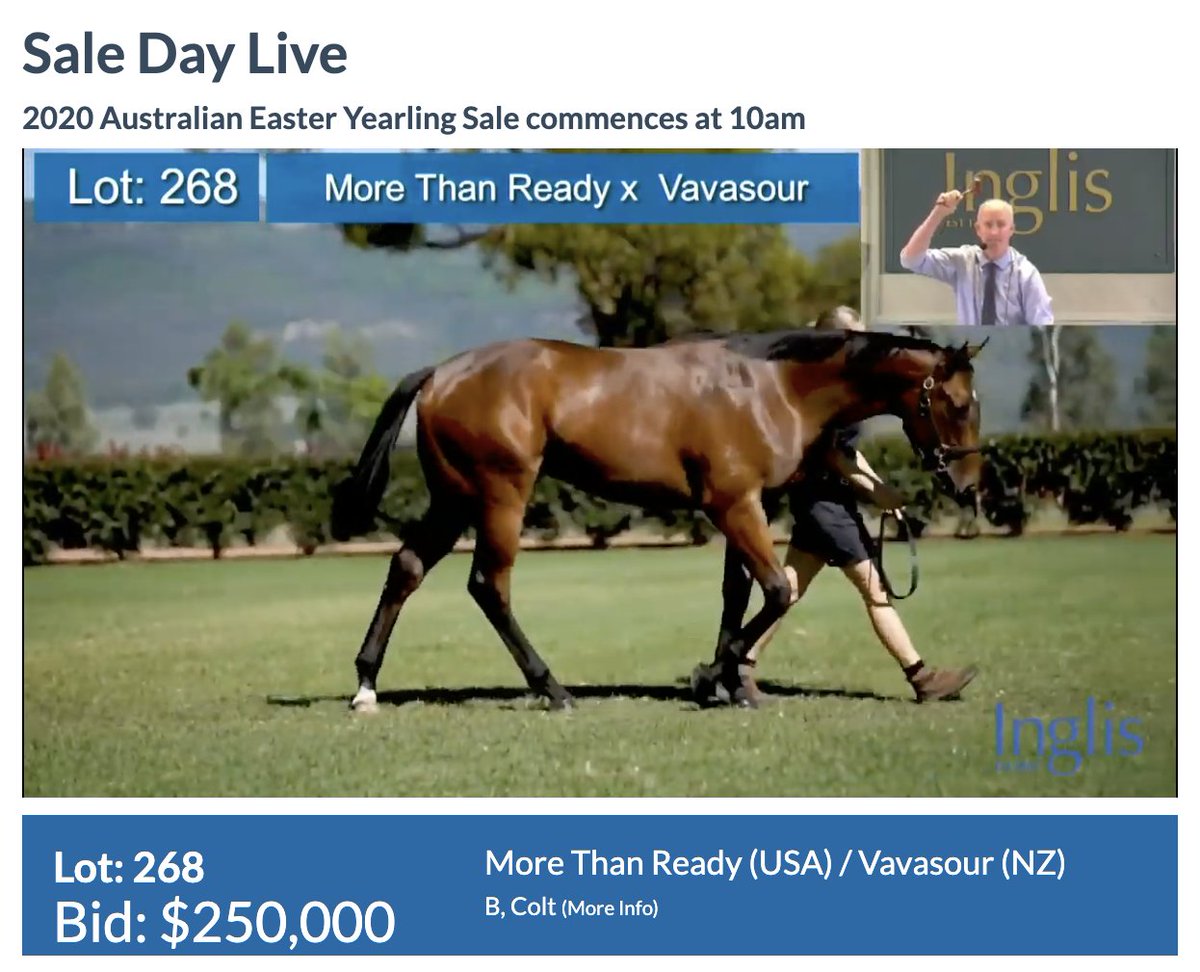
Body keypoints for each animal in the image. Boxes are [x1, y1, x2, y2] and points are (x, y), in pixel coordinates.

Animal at [329, 327, 986, 712]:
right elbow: (774, 590)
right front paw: (709, 676)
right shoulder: (733, 505)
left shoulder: (743, 505)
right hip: (498, 497)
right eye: (956, 404)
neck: (771, 386)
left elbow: (738, 595)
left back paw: (366, 686)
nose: (969, 485)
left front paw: (732, 684)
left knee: (407, 568)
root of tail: (441, 372)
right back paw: (553, 689)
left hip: (454, 499)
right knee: (489, 586)